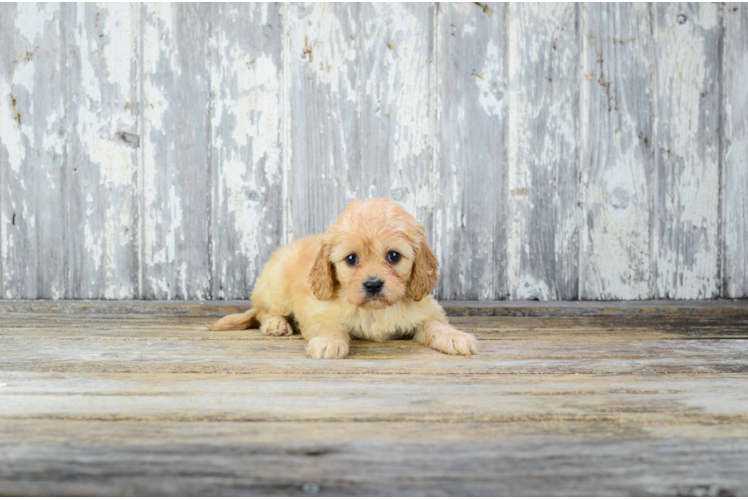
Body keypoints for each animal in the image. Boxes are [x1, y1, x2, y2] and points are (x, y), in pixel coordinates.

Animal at [209, 199, 480, 360]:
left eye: (394, 256)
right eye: (351, 259)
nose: (373, 284)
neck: (375, 311)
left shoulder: (426, 309)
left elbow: (438, 325)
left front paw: (455, 337)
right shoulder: (318, 311)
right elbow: (330, 327)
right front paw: (329, 343)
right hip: (275, 289)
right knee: (262, 311)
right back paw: (276, 324)